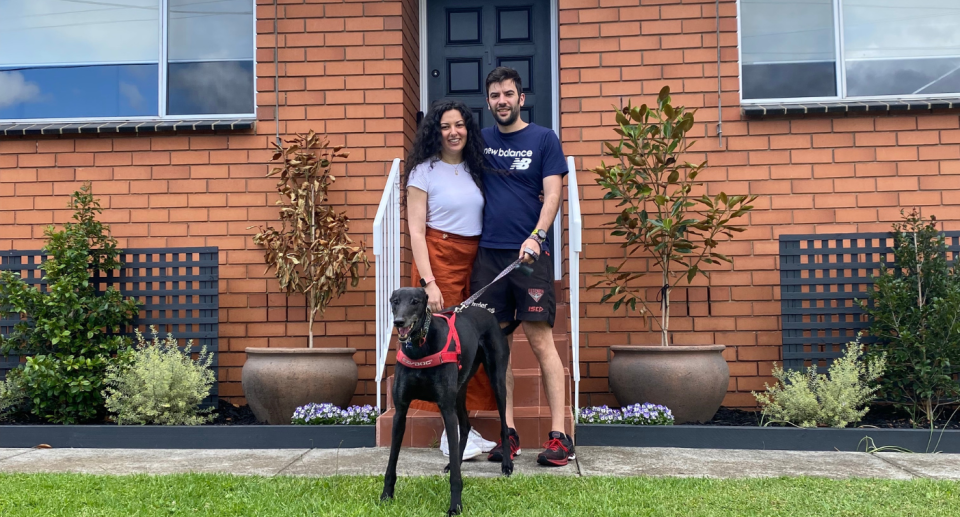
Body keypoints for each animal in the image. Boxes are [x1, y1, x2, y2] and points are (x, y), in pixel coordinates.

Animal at [382, 286, 516, 512]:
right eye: (394, 301)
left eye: (415, 301)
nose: (399, 322)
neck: (421, 346)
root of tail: (491, 317)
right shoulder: (400, 412)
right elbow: (392, 460)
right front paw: (386, 496)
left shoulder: (446, 408)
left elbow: (455, 476)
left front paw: (455, 506)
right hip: (460, 391)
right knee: (465, 425)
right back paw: (457, 462)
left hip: (497, 381)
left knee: (504, 426)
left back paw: (506, 465)